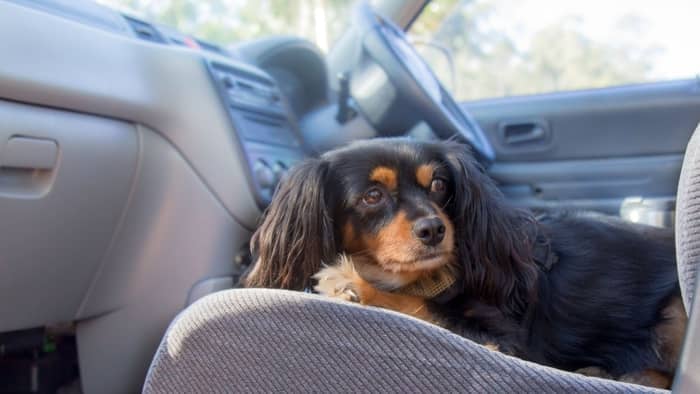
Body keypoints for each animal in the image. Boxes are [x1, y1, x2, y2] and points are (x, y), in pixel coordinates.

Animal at [243, 139, 688, 388]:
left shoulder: (500, 340)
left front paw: (351, 283)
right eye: (372, 196)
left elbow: (419, 305)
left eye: (439, 184)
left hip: (677, 310)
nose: (433, 229)